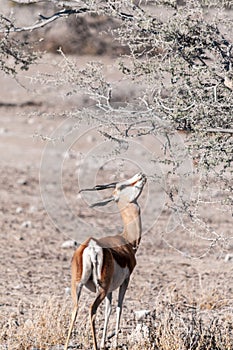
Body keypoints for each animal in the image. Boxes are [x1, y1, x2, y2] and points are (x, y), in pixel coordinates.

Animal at [64, 172, 147, 350]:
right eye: (122, 186)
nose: (141, 175)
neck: (127, 240)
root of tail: (91, 246)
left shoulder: (110, 288)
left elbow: (108, 309)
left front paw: (104, 342)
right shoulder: (125, 281)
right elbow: (119, 307)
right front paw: (114, 343)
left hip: (78, 285)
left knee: (75, 309)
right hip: (100, 288)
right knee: (92, 309)